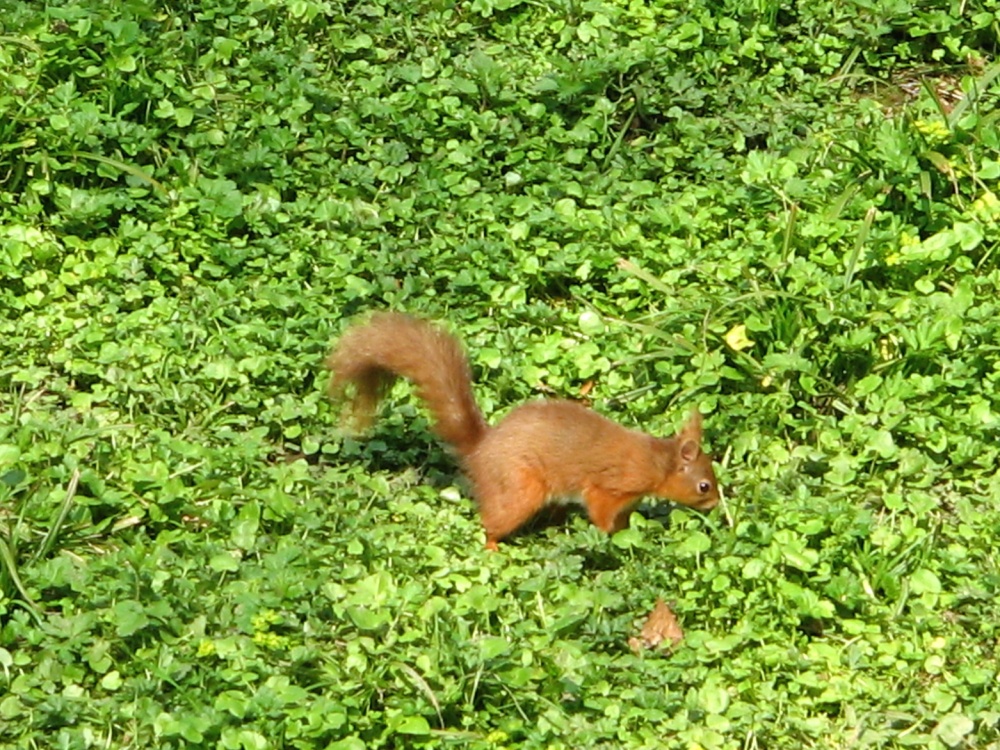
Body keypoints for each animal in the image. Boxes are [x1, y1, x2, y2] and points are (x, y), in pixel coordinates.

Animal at [327, 312, 720, 550]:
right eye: (704, 485)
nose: (716, 505)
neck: (656, 461)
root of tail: (480, 449)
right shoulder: (609, 487)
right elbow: (601, 511)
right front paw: (610, 536)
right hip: (518, 488)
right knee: (492, 521)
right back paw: (492, 546)